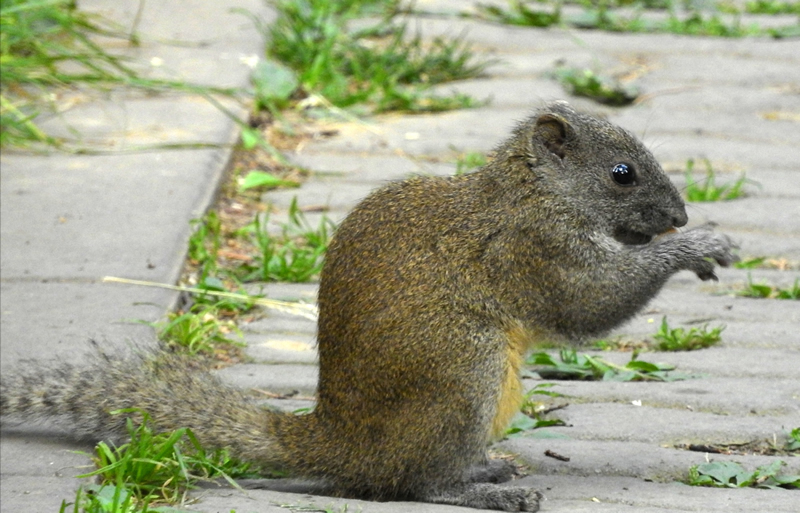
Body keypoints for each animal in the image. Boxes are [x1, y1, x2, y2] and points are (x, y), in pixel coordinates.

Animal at [0, 102, 736, 510]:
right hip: (462, 370)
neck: (533, 194)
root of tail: (336, 443)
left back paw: (488, 464)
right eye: (622, 174)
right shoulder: (535, 251)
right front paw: (697, 246)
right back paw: (487, 489)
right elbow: (591, 301)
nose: (679, 215)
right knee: (414, 482)